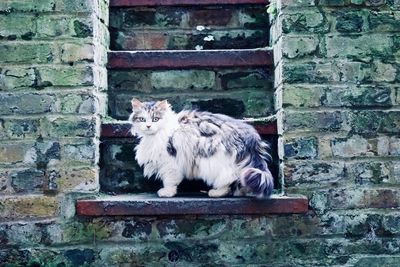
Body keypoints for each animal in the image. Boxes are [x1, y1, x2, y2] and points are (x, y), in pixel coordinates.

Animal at [130, 99, 274, 199]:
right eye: (142, 119)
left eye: (155, 119)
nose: (148, 126)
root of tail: (250, 136)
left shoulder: (170, 161)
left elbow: (169, 180)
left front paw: (167, 192)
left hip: (213, 159)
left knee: (229, 178)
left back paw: (217, 192)